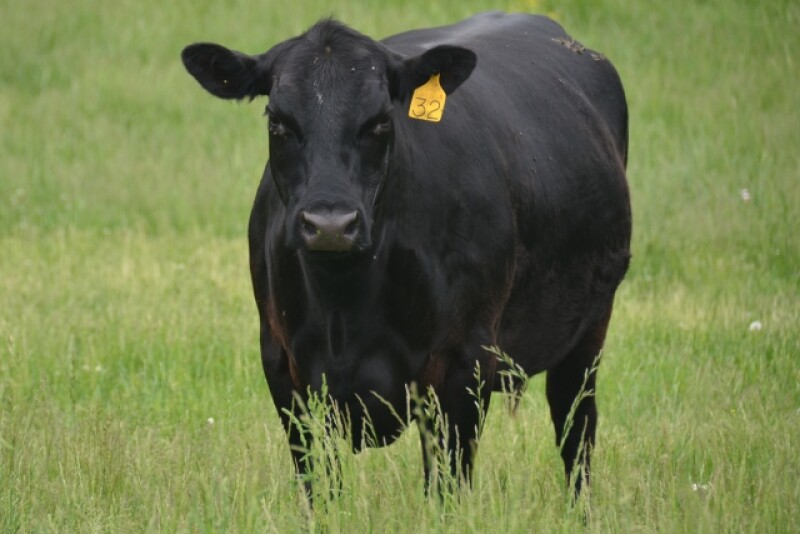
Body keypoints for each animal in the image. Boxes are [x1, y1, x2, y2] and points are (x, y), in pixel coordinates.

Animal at [181, 11, 631, 499]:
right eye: (277, 122)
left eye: (380, 121)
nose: (330, 224)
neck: (344, 304)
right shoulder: (284, 367)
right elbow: (319, 485)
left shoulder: (464, 365)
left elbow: (448, 486)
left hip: (588, 332)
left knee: (575, 431)